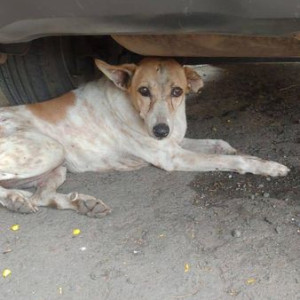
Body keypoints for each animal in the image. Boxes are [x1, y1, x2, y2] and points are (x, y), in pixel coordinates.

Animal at [0, 58, 290, 217]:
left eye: (177, 91)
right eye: (143, 91)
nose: (160, 131)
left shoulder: (174, 143)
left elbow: (220, 144)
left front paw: (232, 150)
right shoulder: (172, 156)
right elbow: (234, 161)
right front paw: (267, 166)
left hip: (57, 167)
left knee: (41, 196)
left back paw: (80, 203)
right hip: (51, 148)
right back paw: (16, 199)